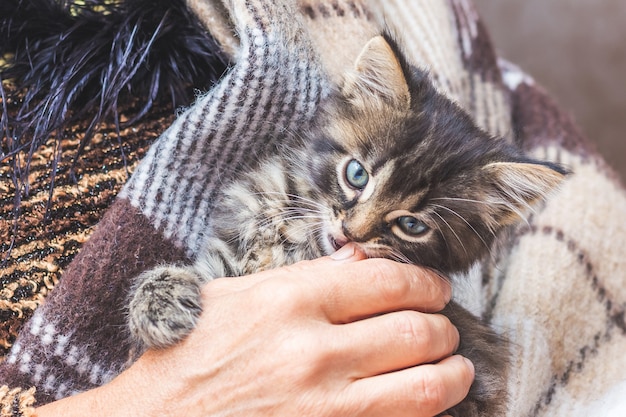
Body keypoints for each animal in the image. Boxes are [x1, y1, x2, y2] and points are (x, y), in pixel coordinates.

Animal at [127, 33, 564, 416]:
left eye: (411, 225)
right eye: (357, 174)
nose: (353, 232)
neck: (296, 241)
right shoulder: (230, 254)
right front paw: (158, 302)